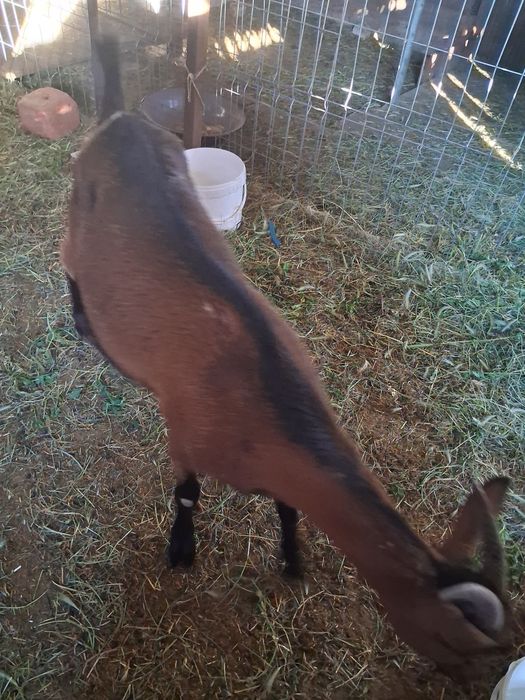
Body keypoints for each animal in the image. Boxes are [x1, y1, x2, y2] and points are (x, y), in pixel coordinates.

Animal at [60, 34, 511, 676]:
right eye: (462, 647)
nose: (473, 682)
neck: (265, 397)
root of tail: (121, 118)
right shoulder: (185, 435)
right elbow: (188, 495)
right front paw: (181, 550)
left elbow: (289, 509)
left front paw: (293, 561)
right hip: (77, 212)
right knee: (70, 265)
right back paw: (83, 323)